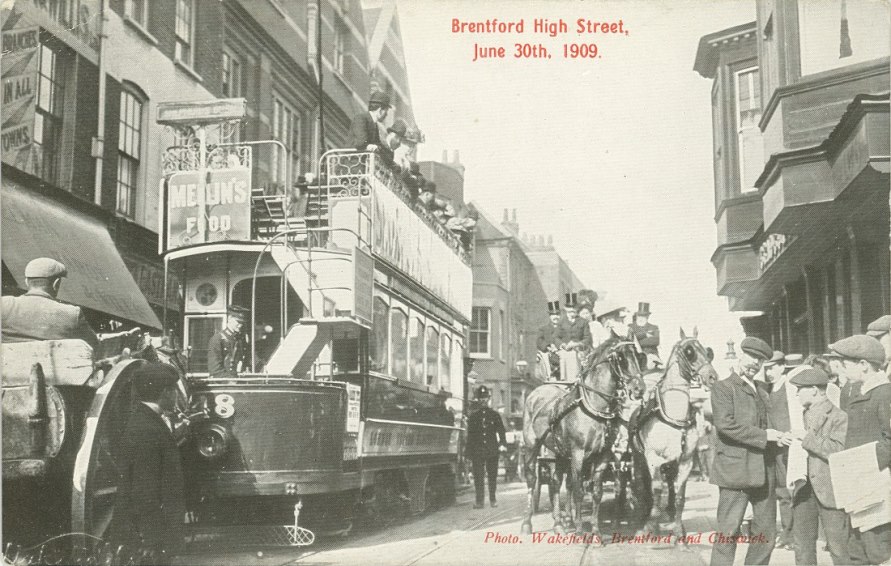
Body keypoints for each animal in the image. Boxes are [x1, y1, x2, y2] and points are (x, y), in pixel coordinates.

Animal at [520, 336, 644, 540]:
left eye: (638, 356)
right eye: (620, 358)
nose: (640, 389)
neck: (593, 407)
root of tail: (537, 392)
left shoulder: (603, 456)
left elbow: (596, 492)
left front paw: (595, 531)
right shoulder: (578, 454)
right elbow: (578, 490)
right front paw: (579, 530)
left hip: (559, 451)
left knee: (556, 482)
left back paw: (558, 525)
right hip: (533, 447)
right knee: (532, 479)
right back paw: (527, 523)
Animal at [632, 330, 720, 548]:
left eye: (707, 351)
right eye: (689, 351)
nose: (712, 377)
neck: (673, 417)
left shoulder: (686, 461)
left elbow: (680, 496)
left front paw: (679, 533)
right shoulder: (653, 459)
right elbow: (655, 491)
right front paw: (650, 528)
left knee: (669, 489)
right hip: (638, 459)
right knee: (642, 487)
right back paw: (642, 521)